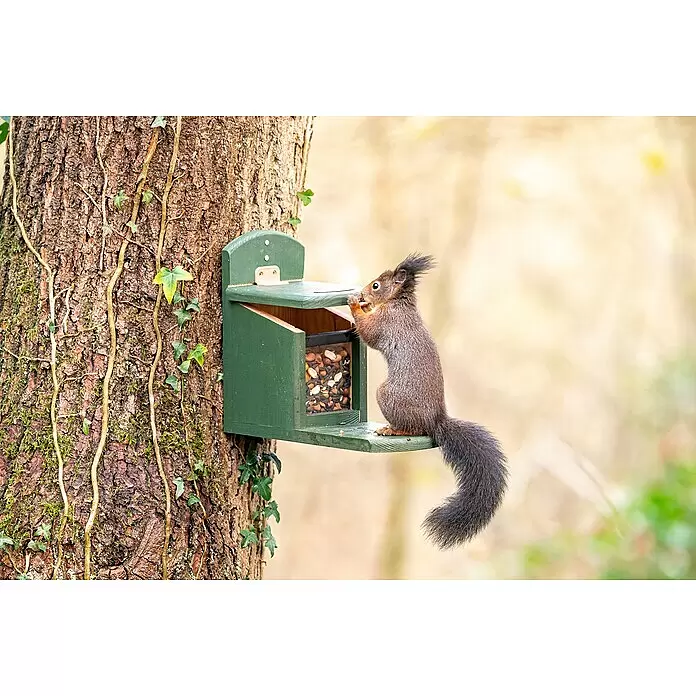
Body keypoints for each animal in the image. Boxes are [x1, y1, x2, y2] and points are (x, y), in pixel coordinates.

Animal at [347, 253, 508, 549]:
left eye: (376, 285)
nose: (362, 293)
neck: (398, 302)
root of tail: (436, 421)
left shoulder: (388, 322)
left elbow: (370, 332)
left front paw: (354, 304)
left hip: (388, 396)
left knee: (413, 429)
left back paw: (392, 429)